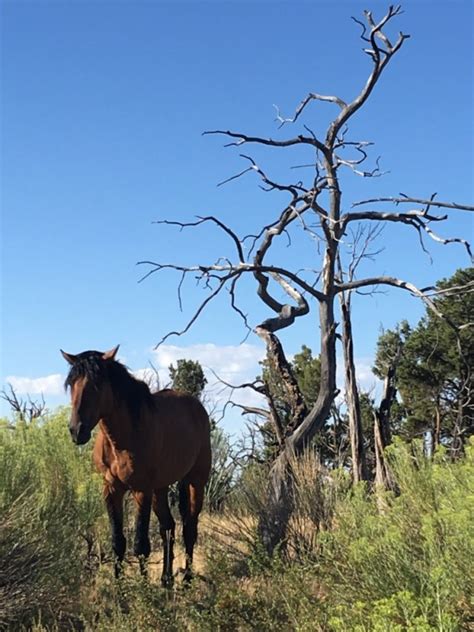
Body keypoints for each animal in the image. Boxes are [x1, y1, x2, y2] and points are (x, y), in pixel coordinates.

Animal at [60, 344, 211, 584]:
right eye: (72, 384)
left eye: (97, 383)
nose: (77, 430)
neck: (121, 440)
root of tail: (197, 408)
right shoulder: (112, 489)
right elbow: (118, 542)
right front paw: (120, 589)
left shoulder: (142, 490)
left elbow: (140, 544)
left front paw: (143, 588)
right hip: (161, 488)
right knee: (168, 526)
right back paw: (166, 580)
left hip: (195, 481)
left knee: (189, 528)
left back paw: (186, 580)